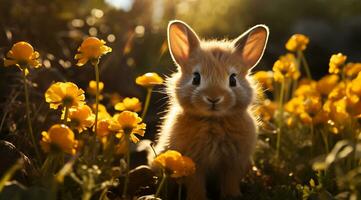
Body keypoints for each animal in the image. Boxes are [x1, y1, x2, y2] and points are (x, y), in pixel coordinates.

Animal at [151, 20, 268, 200]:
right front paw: (197, 198)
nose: (213, 98)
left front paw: (233, 196)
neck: (213, 121)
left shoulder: (233, 163)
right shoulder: (194, 163)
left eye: (233, 79)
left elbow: (230, 182)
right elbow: (196, 184)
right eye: (196, 78)